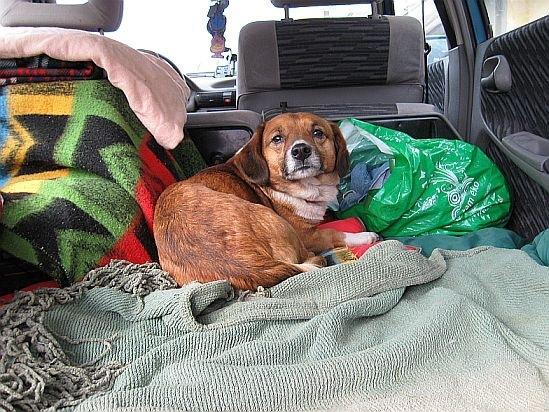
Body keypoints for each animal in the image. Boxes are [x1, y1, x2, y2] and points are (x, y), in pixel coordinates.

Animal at [154, 112, 376, 290]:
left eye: (317, 133)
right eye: (277, 138)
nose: (301, 150)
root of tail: (246, 266)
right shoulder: (306, 235)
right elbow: (332, 232)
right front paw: (365, 236)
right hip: (277, 222)